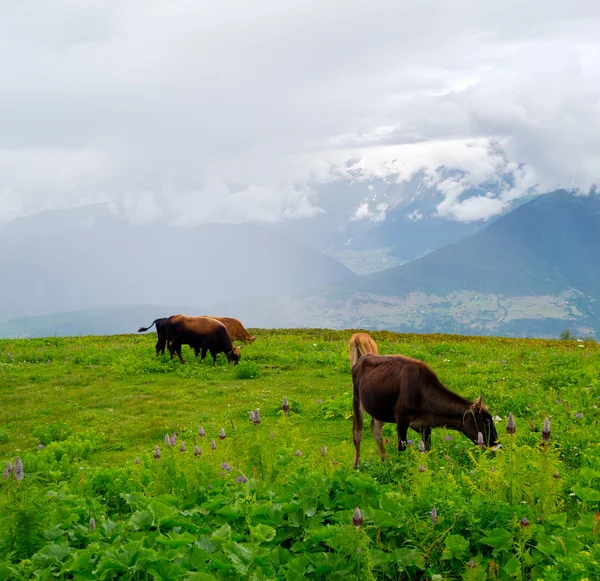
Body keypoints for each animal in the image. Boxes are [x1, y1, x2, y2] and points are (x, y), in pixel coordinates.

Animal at [352, 352, 496, 468]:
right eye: (487, 421)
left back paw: (385, 460)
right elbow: (401, 448)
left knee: (376, 430)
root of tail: (361, 358)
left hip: (377, 408)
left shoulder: (426, 425)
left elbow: (427, 449)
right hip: (357, 400)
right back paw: (357, 465)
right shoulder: (401, 419)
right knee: (357, 433)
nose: (497, 445)